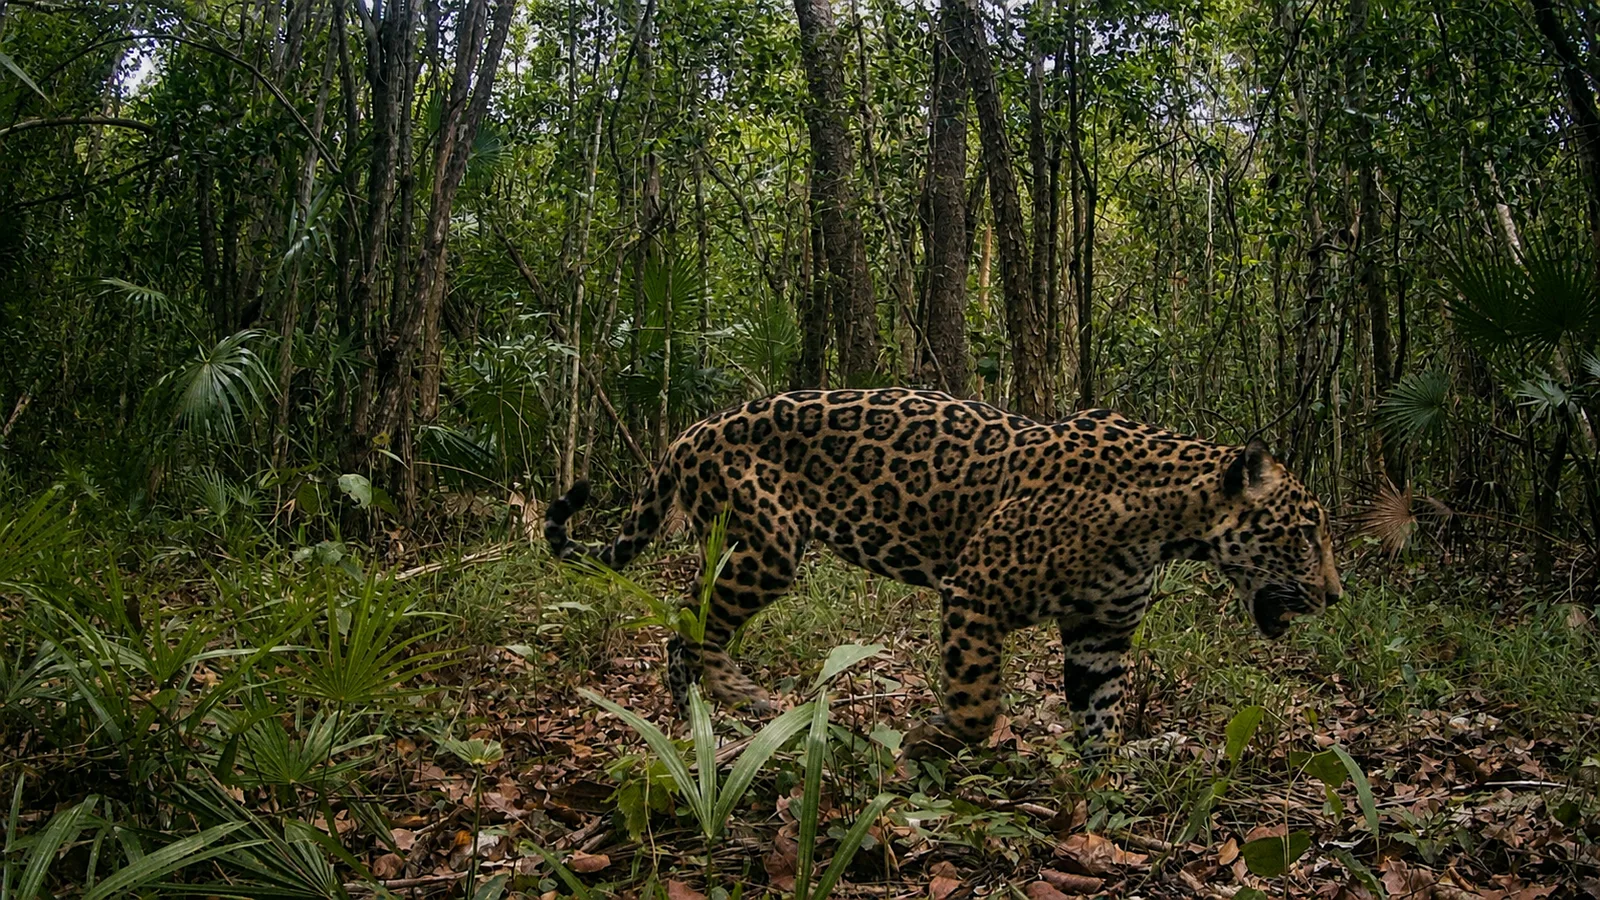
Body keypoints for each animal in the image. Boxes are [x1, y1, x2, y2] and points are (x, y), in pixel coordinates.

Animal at [545, 388, 1342, 755]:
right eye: (1306, 534)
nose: (1335, 596)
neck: (1172, 524)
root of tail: (692, 430)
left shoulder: (1101, 632)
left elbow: (1103, 715)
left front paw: (1101, 793)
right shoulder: (975, 590)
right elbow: (977, 702)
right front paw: (932, 740)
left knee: (685, 616)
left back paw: (700, 711)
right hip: (769, 543)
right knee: (694, 621)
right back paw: (733, 699)